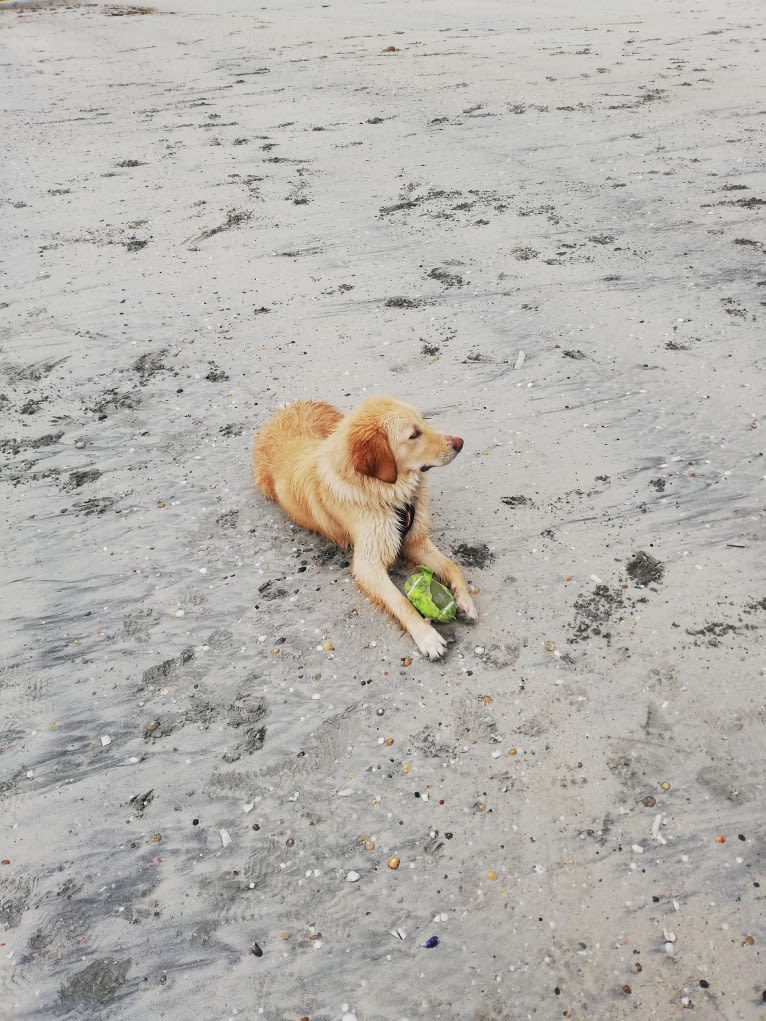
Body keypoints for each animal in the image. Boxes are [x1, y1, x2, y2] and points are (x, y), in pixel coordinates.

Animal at [255, 394, 477, 657]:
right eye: (413, 435)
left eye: (424, 421)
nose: (460, 443)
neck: (385, 492)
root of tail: (287, 408)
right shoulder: (368, 564)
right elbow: (399, 600)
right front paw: (427, 636)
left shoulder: (415, 539)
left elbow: (453, 566)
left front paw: (465, 601)